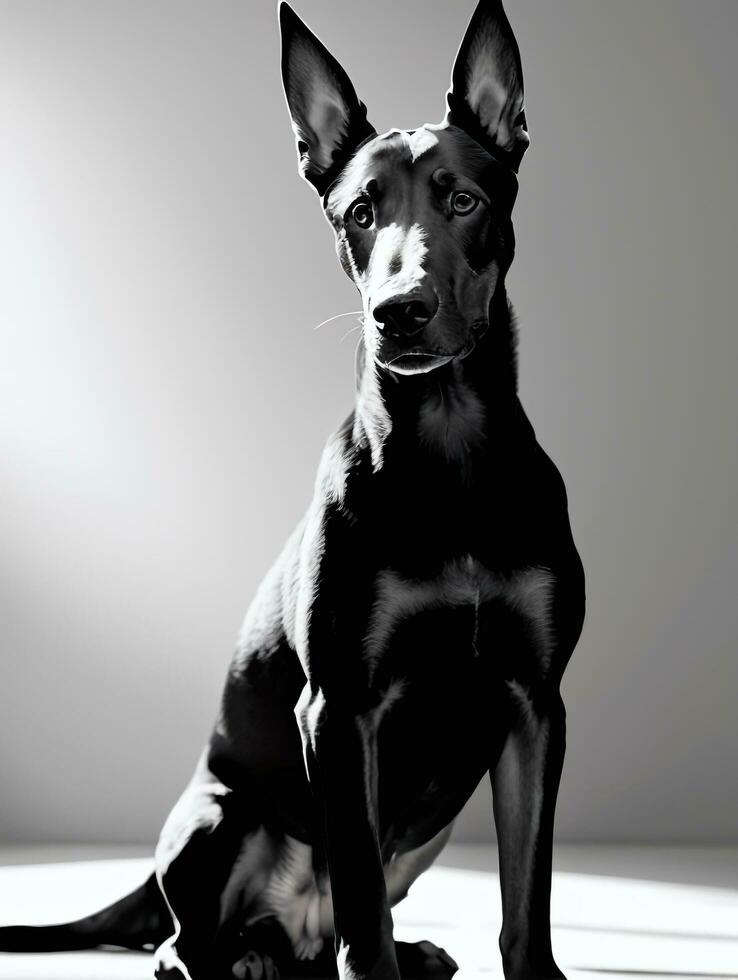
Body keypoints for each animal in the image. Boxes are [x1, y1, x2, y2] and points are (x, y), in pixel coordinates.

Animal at [1, 1, 588, 980]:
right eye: (360, 212)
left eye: (463, 200)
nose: (399, 312)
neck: (449, 449)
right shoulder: (342, 710)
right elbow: (360, 900)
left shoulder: (535, 704)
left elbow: (524, 896)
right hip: (221, 816)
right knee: (189, 939)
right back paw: (242, 958)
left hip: (431, 822)